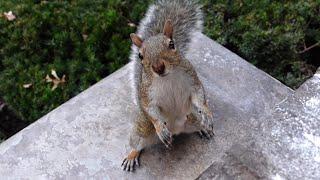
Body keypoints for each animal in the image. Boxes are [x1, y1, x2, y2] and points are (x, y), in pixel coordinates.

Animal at [121, 0, 214, 172]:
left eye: (171, 44)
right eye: (140, 55)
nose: (158, 67)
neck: (167, 78)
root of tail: (177, 131)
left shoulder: (191, 78)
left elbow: (199, 95)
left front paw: (206, 112)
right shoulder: (147, 94)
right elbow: (150, 108)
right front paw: (160, 127)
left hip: (191, 117)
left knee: (196, 122)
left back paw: (203, 128)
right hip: (143, 127)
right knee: (137, 143)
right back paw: (132, 155)